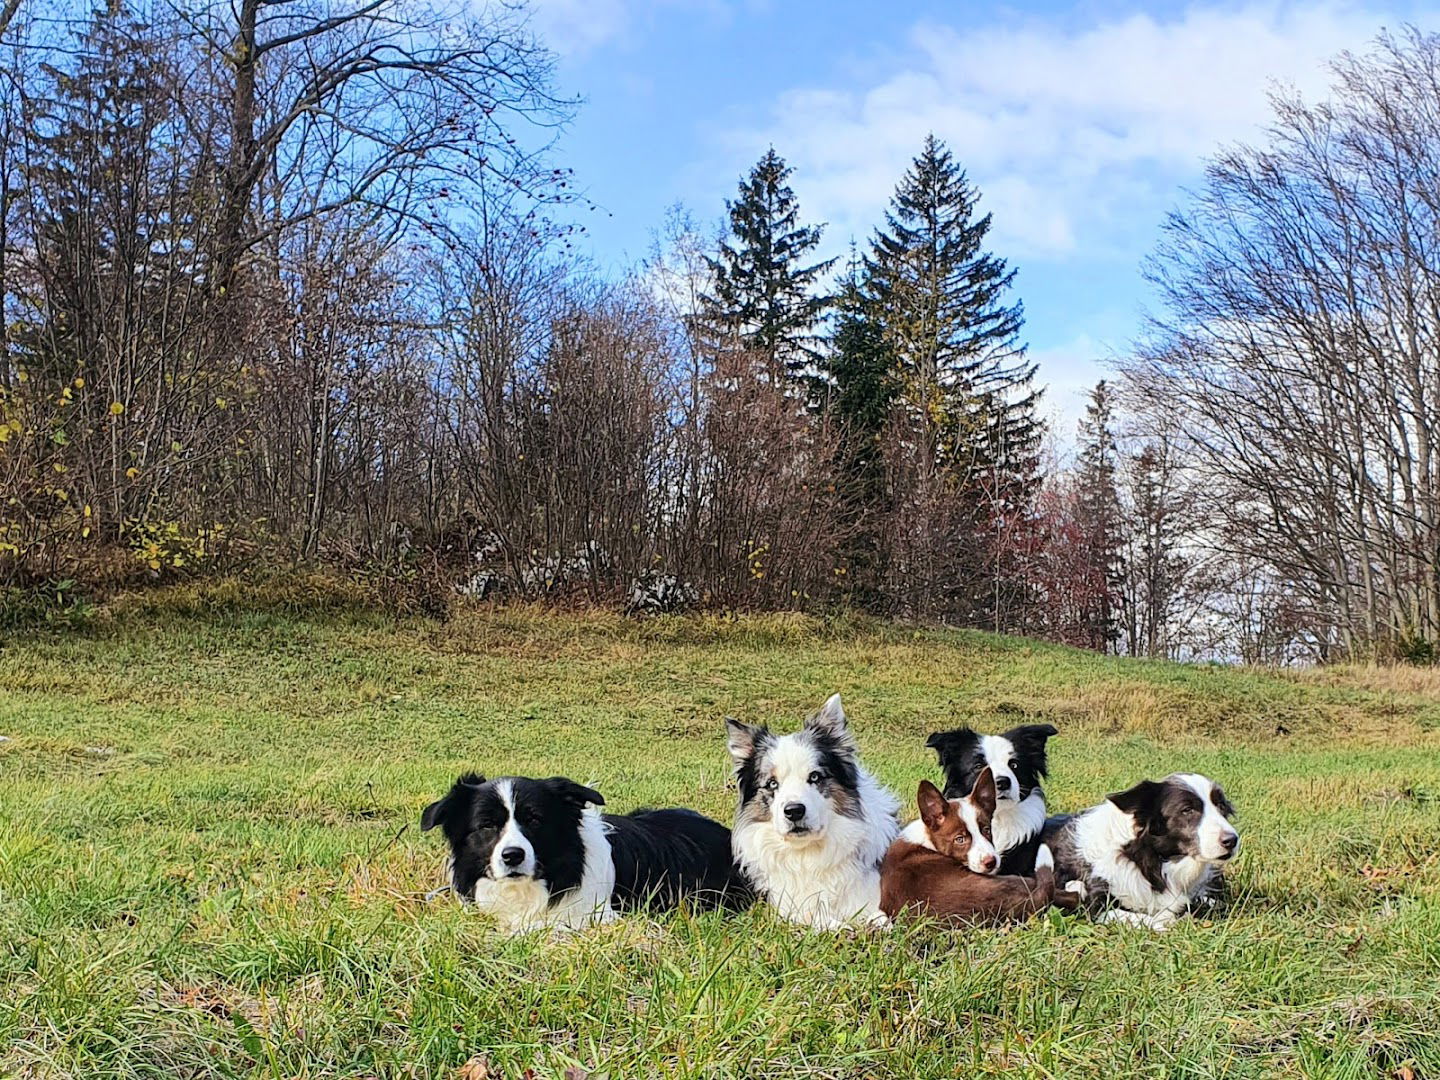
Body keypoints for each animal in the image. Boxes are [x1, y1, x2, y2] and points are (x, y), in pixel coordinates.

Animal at [731, 696, 898, 933]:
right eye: (772, 783)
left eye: (815, 777)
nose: (794, 811)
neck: (808, 854)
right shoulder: (787, 905)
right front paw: (834, 926)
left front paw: (876, 923)